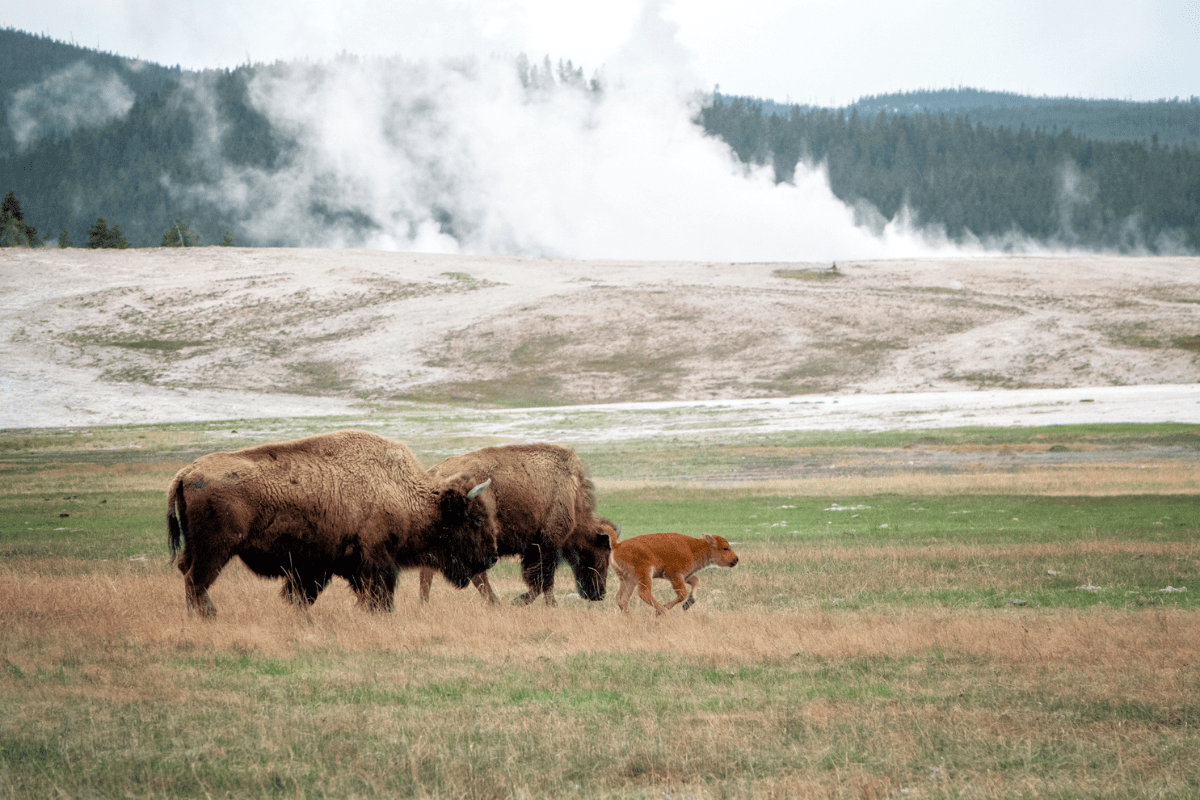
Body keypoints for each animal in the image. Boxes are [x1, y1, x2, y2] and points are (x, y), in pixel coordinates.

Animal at [167, 430, 499, 617]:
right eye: (476, 519)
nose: (493, 557)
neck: (403, 491)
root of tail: (185, 473)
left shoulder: (319, 566)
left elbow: (305, 595)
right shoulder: (375, 559)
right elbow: (380, 595)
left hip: (198, 548)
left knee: (187, 573)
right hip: (216, 548)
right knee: (196, 580)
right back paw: (207, 616)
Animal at [417, 443, 615, 605]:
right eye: (602, 554)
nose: (599, 594)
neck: (573, 496)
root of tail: (434, 473)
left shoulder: (535, 547)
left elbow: (542, 580)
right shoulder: (548, 544)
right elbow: (543, 579)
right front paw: (524, 602)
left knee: (432, 571)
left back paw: (425, 603)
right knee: (474, 574)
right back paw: (494, 603)